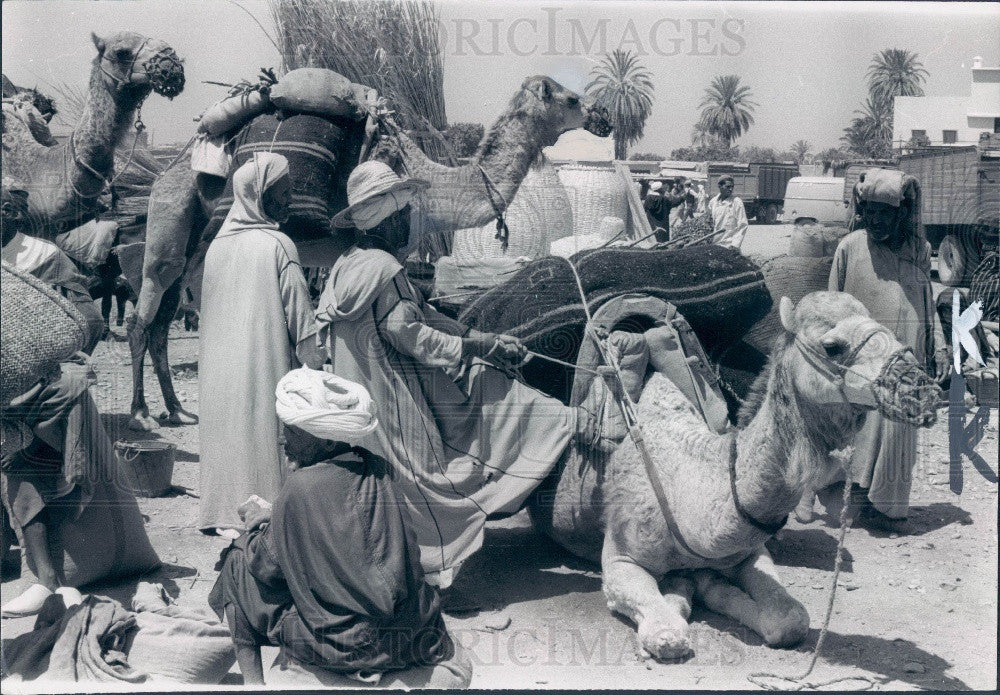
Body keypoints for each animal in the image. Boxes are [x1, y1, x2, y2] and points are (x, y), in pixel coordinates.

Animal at [129, 76, 612, 430]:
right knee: (142, 315)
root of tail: (168, 170)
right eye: (571, 98)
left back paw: (177, 410)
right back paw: (140, 415)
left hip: (192, 245)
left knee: (162, 321)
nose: (603, 115)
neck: (432, 189)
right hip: (169, 227)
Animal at [528, 290, 940, 660]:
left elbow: (790, 619)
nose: (921, 389)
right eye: (832, 346)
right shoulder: (620, 560)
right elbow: (667, 633)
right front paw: (678, 602)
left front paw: (709, 587)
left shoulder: (749, 551)